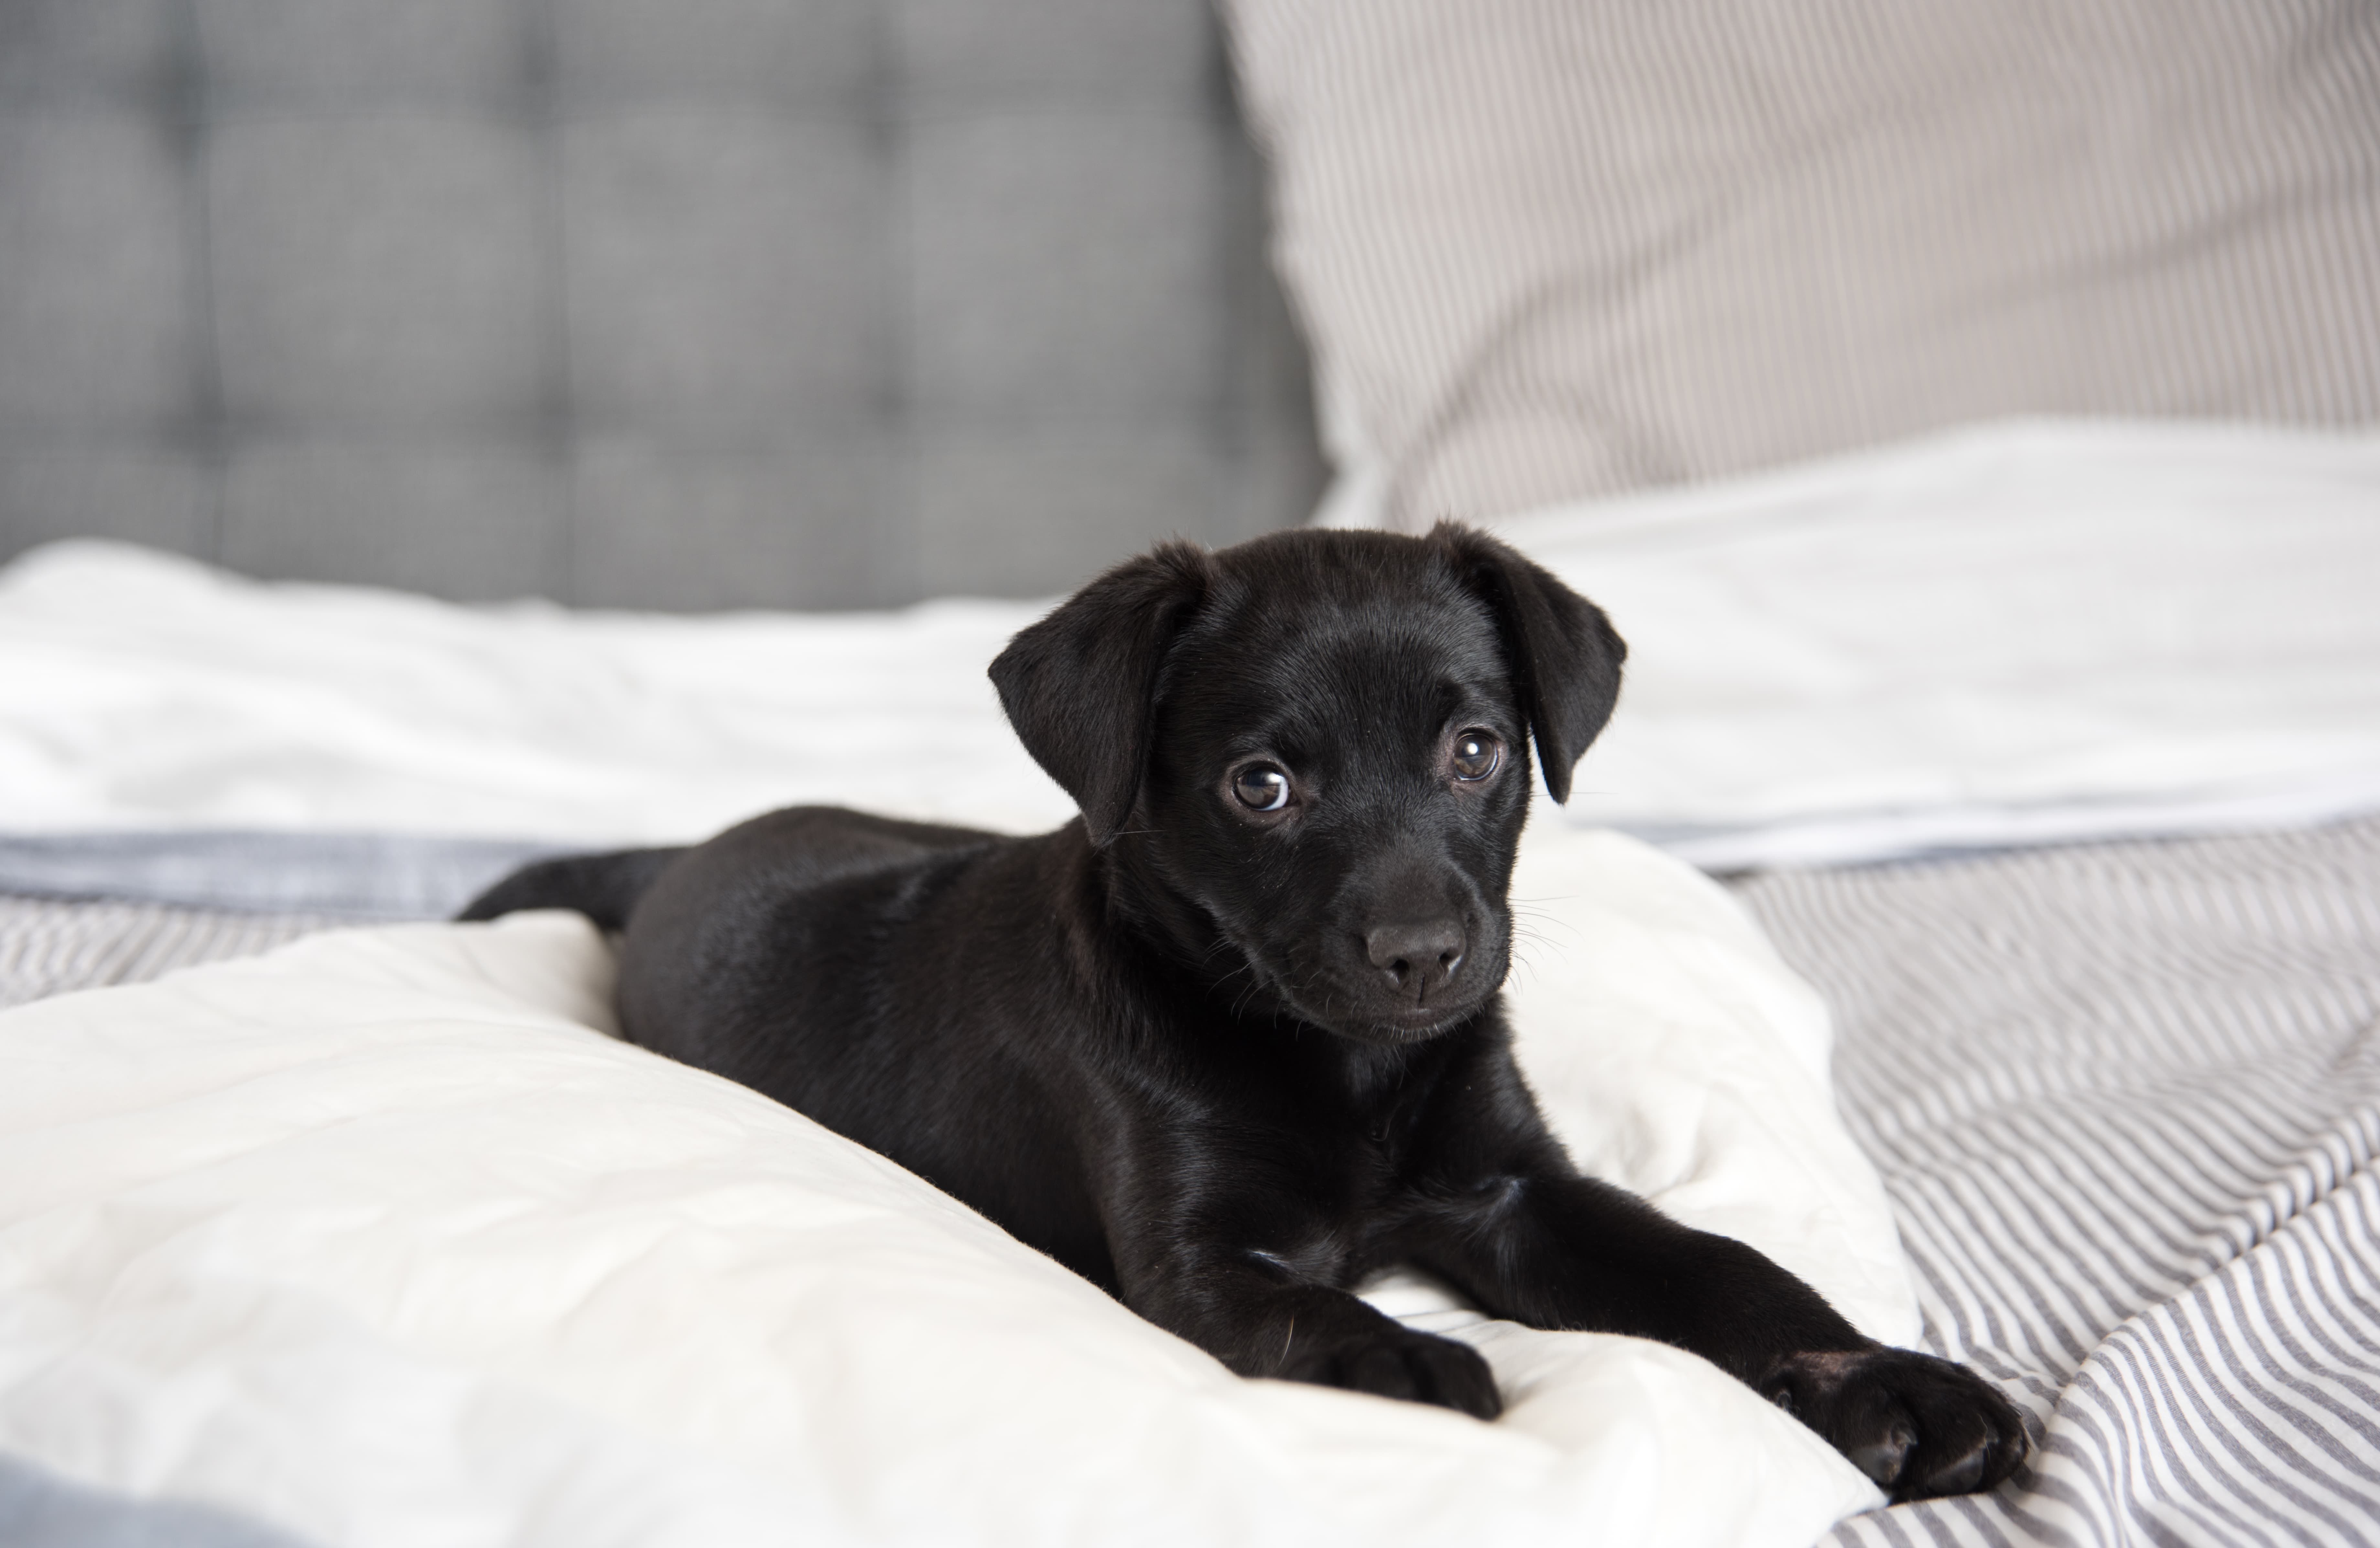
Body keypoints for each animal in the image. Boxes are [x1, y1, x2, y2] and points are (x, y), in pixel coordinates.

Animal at [464, 519, 2027, 1496]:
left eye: (1476, 751)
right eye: (1260, 786)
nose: (1422, 956)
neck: (1341, 1066)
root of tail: (684, 857)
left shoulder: (1522, 1190)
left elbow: (1727, 1271)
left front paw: (1892, 1385)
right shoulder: (1197, 1260)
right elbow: (1313, 1313)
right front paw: (1417, 1365)